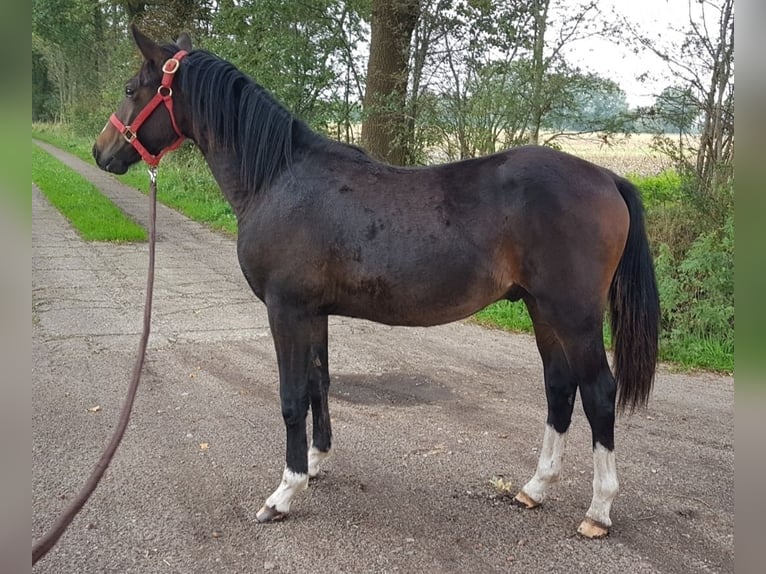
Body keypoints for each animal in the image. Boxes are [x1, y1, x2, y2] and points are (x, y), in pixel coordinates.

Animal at [94, 27, 660, 540]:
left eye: (130, 87)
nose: (102, 152)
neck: (278, 179)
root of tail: (608, 178)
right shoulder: (313, 312)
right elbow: (319, 384)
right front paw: (316, 463)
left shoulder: (285, 309)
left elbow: (291, 396)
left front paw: (283, 493)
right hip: (542, 311)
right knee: (560, 388)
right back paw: (535, 489)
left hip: (574, 316)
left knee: (599, 393)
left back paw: (598, 512)